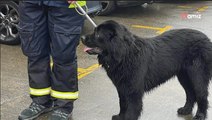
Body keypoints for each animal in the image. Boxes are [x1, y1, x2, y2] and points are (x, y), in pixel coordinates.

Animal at [80, 20, 211, 120]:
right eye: (95, 30)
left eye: (98, 34)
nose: (81, 37)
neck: (125, 55)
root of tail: (207, 39)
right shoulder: (122, 87)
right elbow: (122, 103)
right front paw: (120, 116)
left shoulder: (133, 90)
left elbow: (132, 108)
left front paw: (127, 118)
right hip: (184, 76)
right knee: (190, 93)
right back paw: (186, 110)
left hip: (197, 75)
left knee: (201, 94)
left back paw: (200, 115)